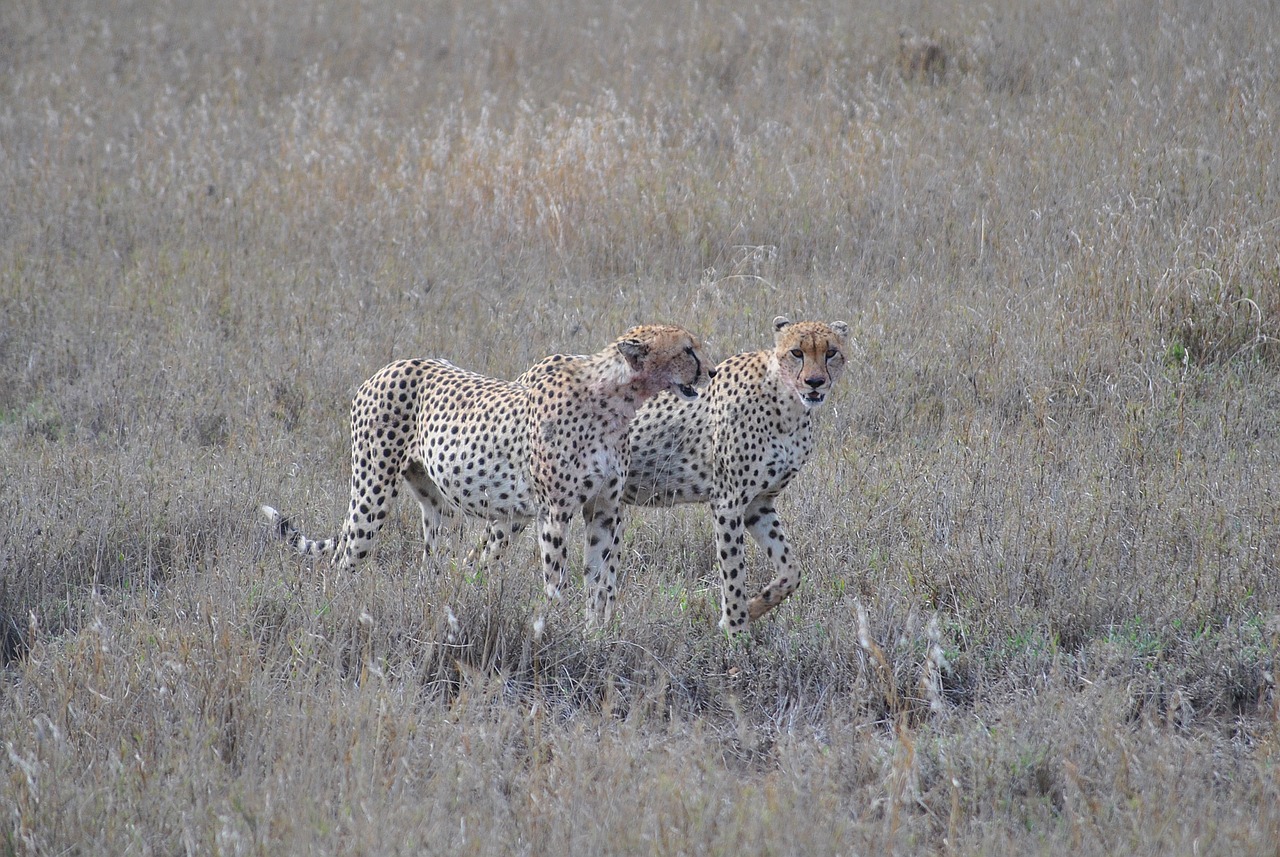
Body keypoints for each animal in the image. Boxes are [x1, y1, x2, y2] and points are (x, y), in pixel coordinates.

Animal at [261, 326, 716, 626]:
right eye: (688, 350)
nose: (710, 373)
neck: (618, 398)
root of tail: (390, 366)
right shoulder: (554, 512)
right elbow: (557, 581)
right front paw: (555, 628)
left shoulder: (605, 508)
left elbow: (600, 581)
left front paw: (597, 635)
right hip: (372, 489)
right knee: (346, 558)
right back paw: (336, 612)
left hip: (438, 506)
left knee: (432, 562)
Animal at [622, 315, 849, 631]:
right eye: (796, 352)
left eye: (831, 353)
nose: (814, 382)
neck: (787, 405)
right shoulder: (728, 502)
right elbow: (734, 571)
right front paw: (736, 629)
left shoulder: (759, 503)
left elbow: (792, 571)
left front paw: (754, 608)